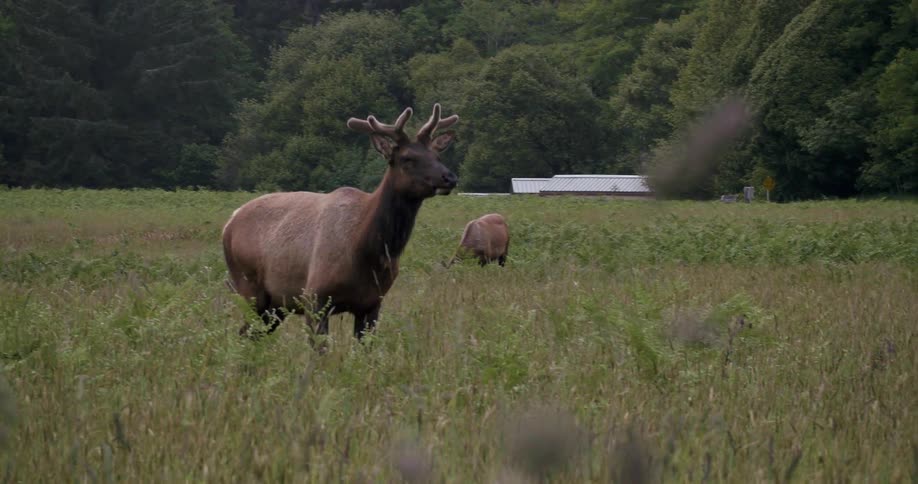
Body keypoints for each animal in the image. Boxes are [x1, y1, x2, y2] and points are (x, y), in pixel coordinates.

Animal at [222, 104, 458, 342]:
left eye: (437, 155)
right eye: (408, 158)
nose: (449, 177)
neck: (365, 250)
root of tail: (229, 223)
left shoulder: (372, 303)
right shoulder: (314, 297)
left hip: (276, 305)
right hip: (248, 287)